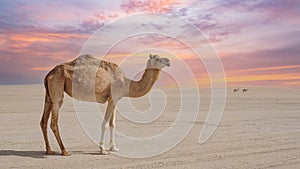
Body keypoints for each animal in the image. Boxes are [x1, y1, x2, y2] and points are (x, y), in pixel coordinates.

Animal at [39, 53, 170, 155]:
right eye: (157, 58)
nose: (168, 61)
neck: (125, 83)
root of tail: (48, 74)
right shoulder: (112, 98)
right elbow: (105, 123)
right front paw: (102, 149)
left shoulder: (114, 99)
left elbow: (112, 124)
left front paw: (114, 147)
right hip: (57, 87)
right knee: (54, 121)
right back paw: (65, 151)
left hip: (48, 95)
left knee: (43, 121)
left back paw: (49, 150)